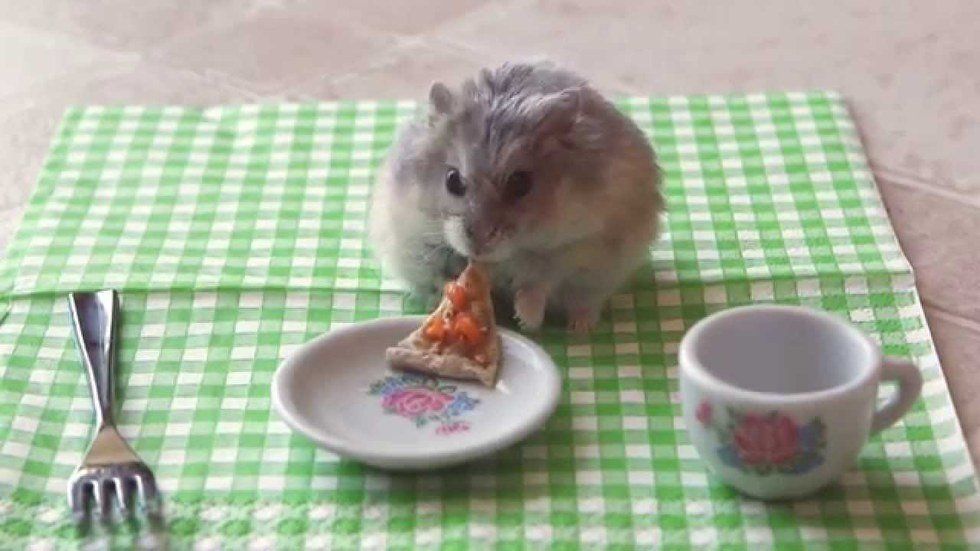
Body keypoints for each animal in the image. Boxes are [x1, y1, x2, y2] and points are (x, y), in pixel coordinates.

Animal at [369, 61, 663, 332]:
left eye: (521, 183)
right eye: (452, 180)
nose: (478, 246)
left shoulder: (576, 248)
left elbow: (538, 283)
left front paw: (527, 320)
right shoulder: (414, 238)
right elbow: (440, 275)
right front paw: (452, 298)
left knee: (584, 301)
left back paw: (580, 327)